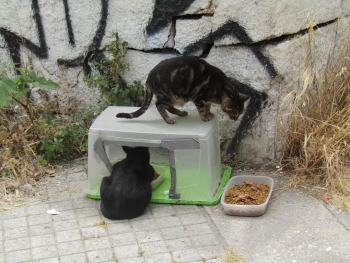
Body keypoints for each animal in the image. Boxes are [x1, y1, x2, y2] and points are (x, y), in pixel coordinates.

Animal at [117, 55, 249, 125]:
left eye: (240, 113)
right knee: (159, 105)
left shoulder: (207, 100)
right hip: (169, 95)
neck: (221, 87)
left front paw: (209, 113)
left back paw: (181, 113)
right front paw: (205, 117)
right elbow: (202, 109)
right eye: (235, 113)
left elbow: (208, 107)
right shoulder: (199, 98)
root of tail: (149, 77)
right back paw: (168, 120)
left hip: (174, 98)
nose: (236, 119)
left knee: (169, 107)